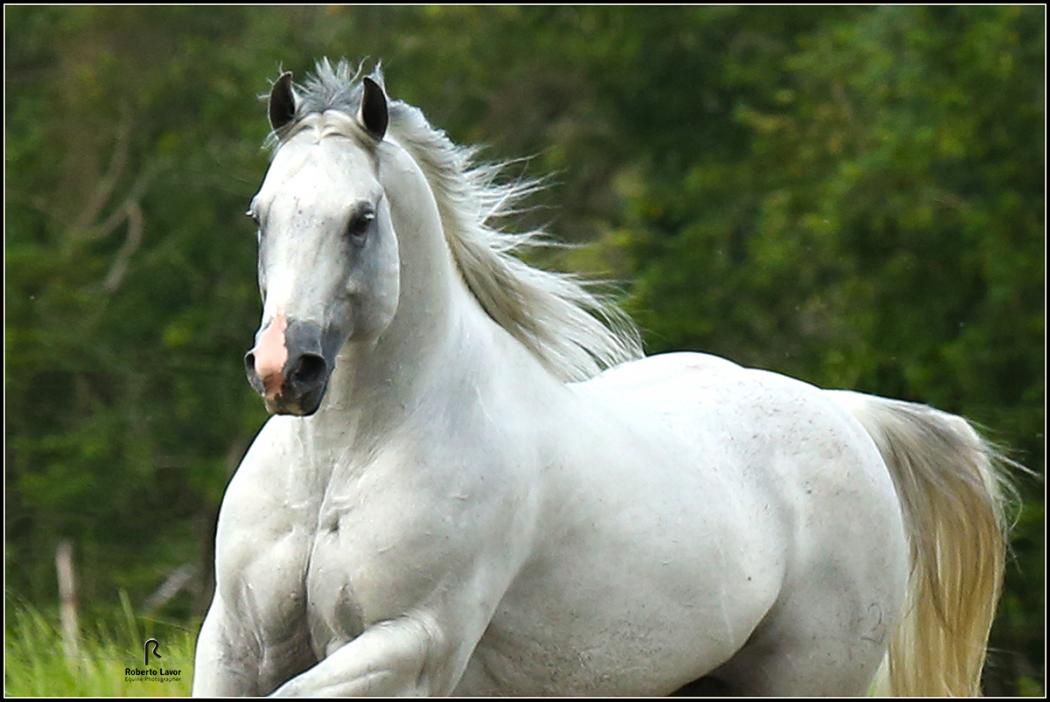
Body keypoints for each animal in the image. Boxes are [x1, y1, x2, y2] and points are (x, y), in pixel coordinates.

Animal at [193, 60, 1012, 696]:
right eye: (260, 216)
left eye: (361, 218)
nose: (285, 370)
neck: (341, 461)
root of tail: (848, 416)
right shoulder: (234, 642)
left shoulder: (412, 645)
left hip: (808, 679)